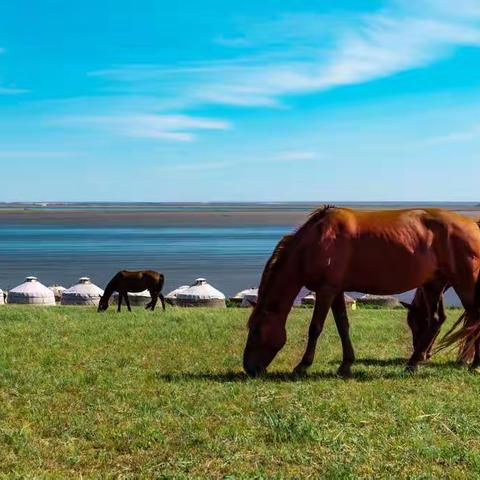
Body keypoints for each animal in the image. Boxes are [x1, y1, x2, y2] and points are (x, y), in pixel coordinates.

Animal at [242, 208, 480, 376]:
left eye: (256, 330)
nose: (249, 368)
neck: (315, 242)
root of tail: (473, 226)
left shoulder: (325, 291)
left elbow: (315, 328)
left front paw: (302, 365)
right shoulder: (336, 291)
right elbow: (343, 326)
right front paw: (345, 365)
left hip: (464, 283)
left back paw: (473, 365)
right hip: (433, 284)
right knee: (437, 320)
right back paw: (414, 363)